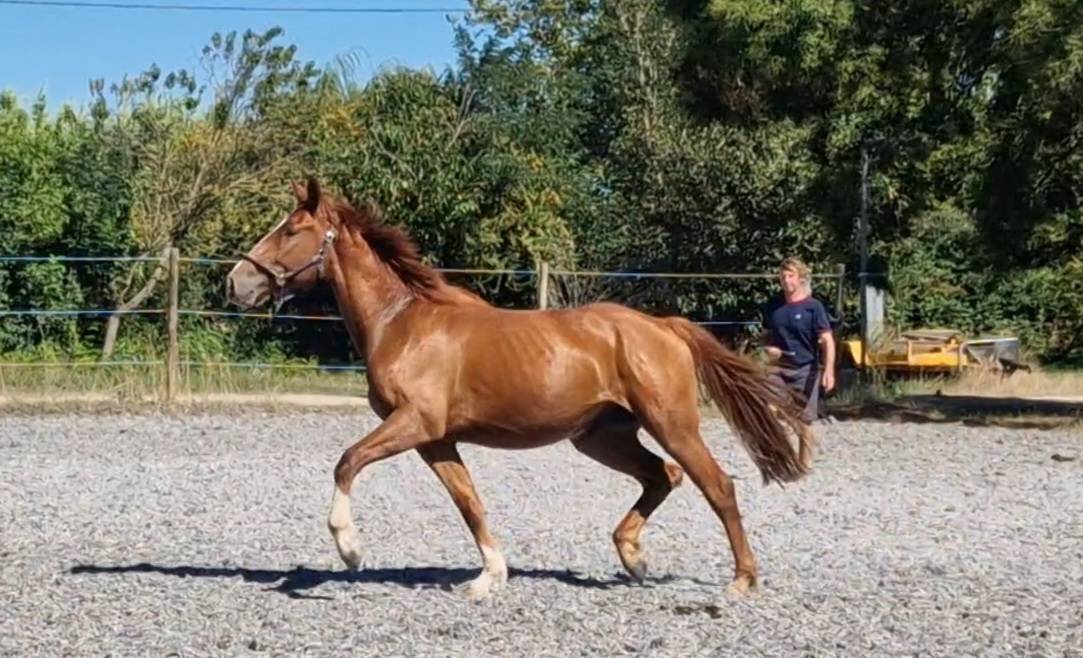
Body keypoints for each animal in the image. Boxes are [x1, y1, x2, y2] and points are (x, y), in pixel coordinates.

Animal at [226, 177, 814, 599]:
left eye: (289, 230)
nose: (236, 283)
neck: (401, 322)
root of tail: (664, 326)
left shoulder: (414, 422)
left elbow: (347, 461)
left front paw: (349, 549)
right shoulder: (435, 439)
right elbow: (469, 502)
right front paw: (489, 577)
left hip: (672, 424)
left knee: (717, 485)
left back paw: (741, 579)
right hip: (601, 437)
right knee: (662, 476)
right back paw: (632, 557)